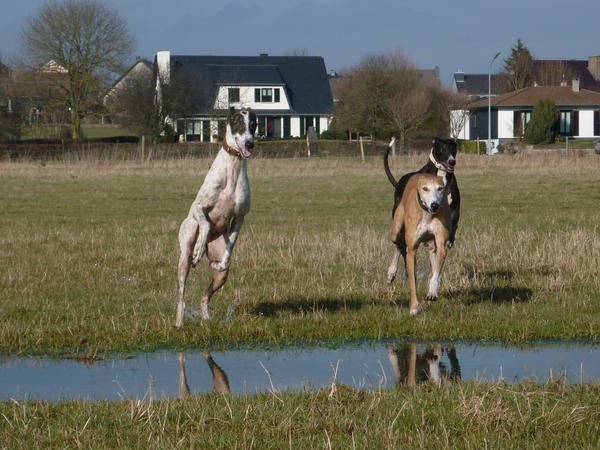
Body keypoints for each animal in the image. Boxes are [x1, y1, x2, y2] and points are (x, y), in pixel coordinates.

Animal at [386, 174, 452, 314]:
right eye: (425, 188)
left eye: (440, 188)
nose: (435, 205)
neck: (427, 214)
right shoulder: (412, 251)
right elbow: (412, 281)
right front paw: (414, 308)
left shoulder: (442, 243)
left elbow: (436, 271)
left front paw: (433, 289)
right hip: (396, 228)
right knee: (398, 244)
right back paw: (391, 272)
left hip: (431, 242)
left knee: (432, 255)